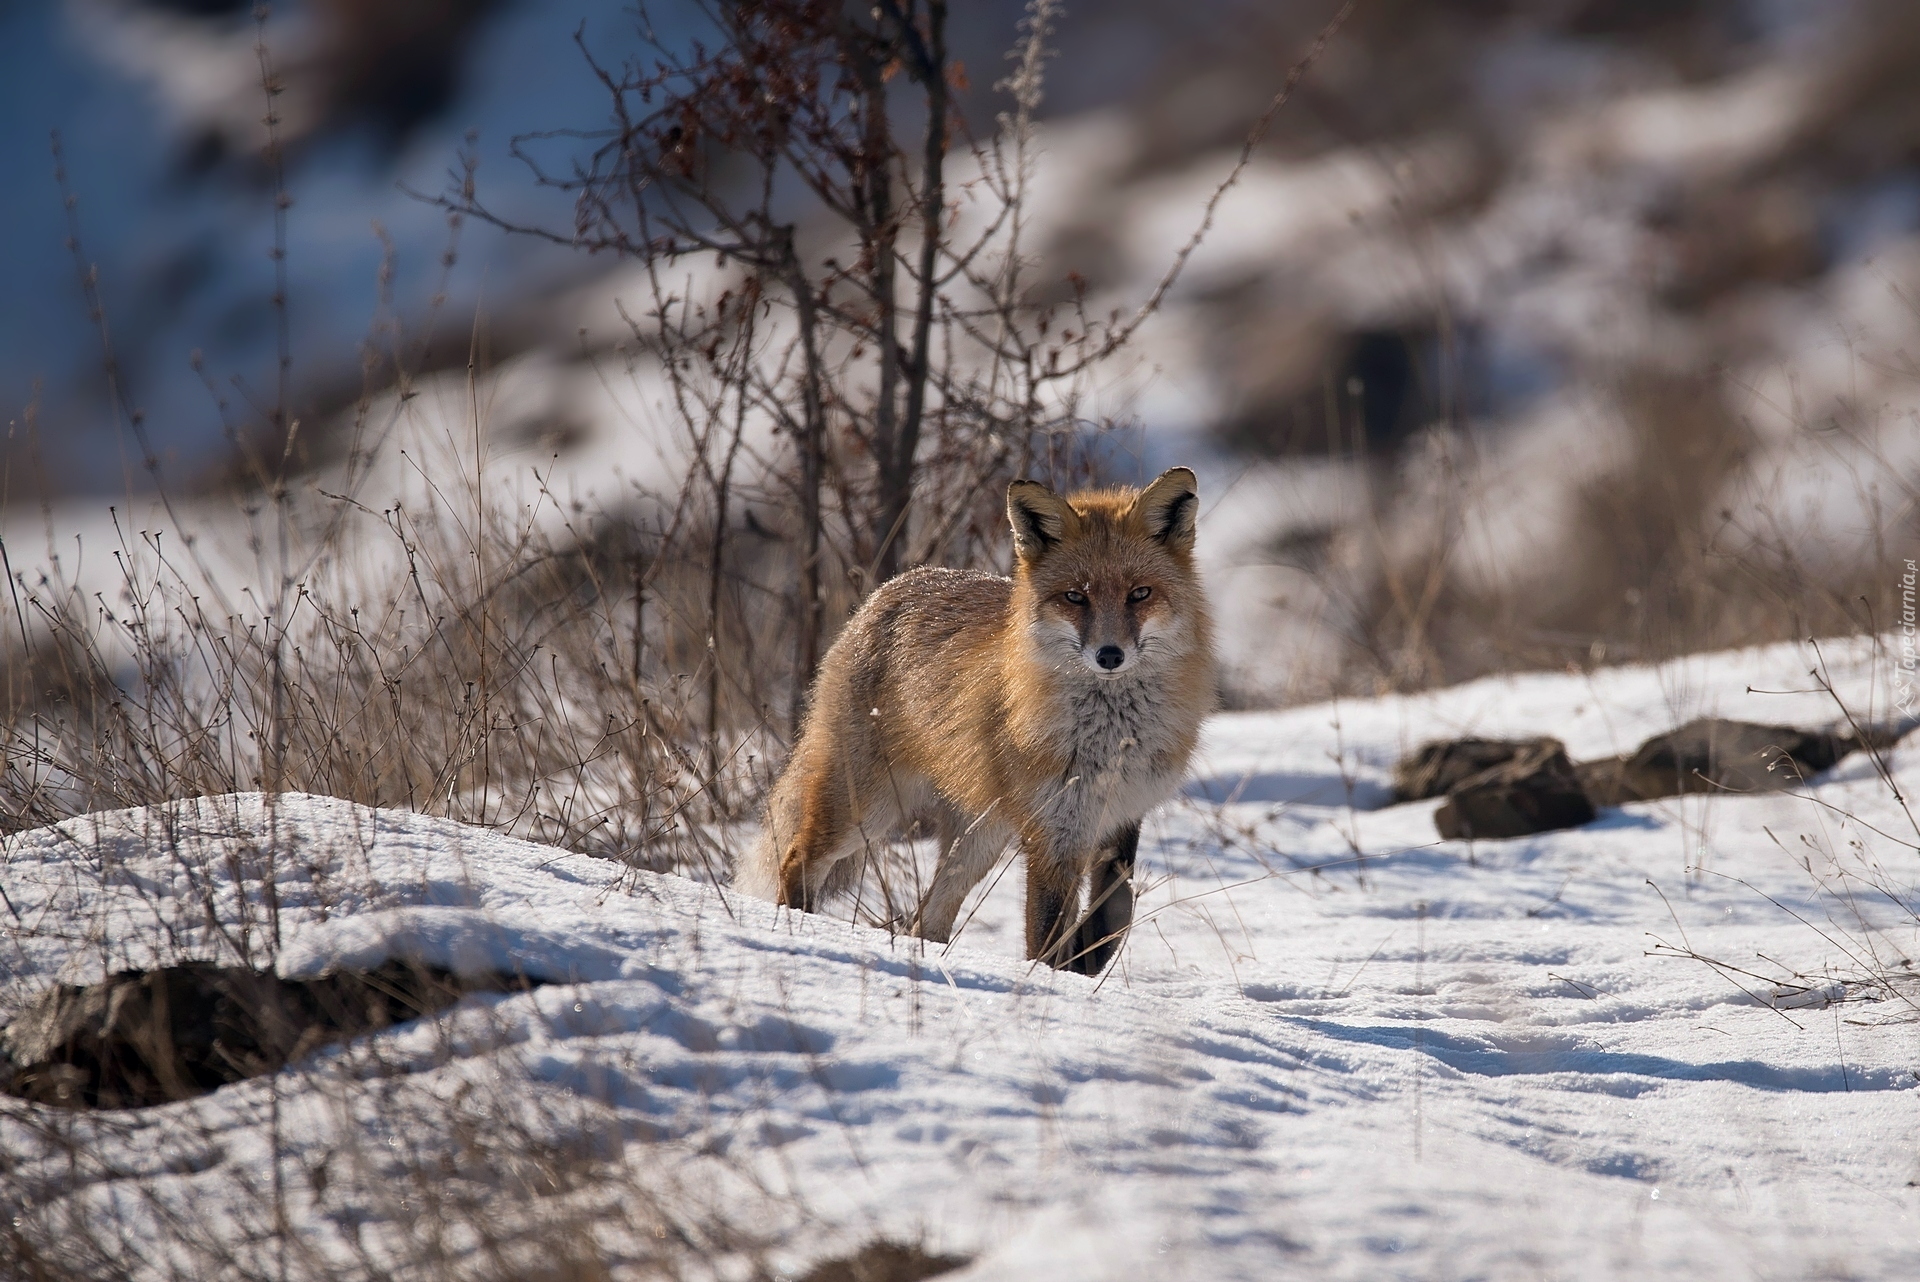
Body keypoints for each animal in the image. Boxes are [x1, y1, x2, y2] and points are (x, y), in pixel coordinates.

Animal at [733, 466, 1213, 974]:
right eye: (1074, 597)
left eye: (1140, 594)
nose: (1109, 655)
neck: (1111, 740)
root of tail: (887, 591)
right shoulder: (1053, 832)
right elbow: (1046, 935)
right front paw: (1051, 980)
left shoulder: (1122, 815)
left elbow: (1117, 908)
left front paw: (1089, 959)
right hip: (869, 808)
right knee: (798, 860)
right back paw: (801, 929)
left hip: (978, 839)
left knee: (926, 919)